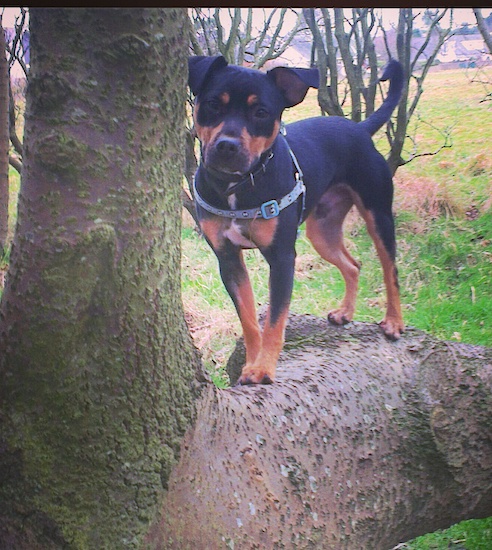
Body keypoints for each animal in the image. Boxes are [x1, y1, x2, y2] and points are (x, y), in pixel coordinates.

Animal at [187, 55, 404, 384]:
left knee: (390, 269)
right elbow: (249, 321)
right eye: (212, 104)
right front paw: (249, 365)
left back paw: (393, 322)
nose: (227, 146)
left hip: (378, 214)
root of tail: (359, 129)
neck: (239, 185)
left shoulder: (281, 258)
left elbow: (275, 320)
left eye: (261, 112)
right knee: (353, 265)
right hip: (322, 231)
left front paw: (263, 369)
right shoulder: (228, 258)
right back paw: (345, 312)